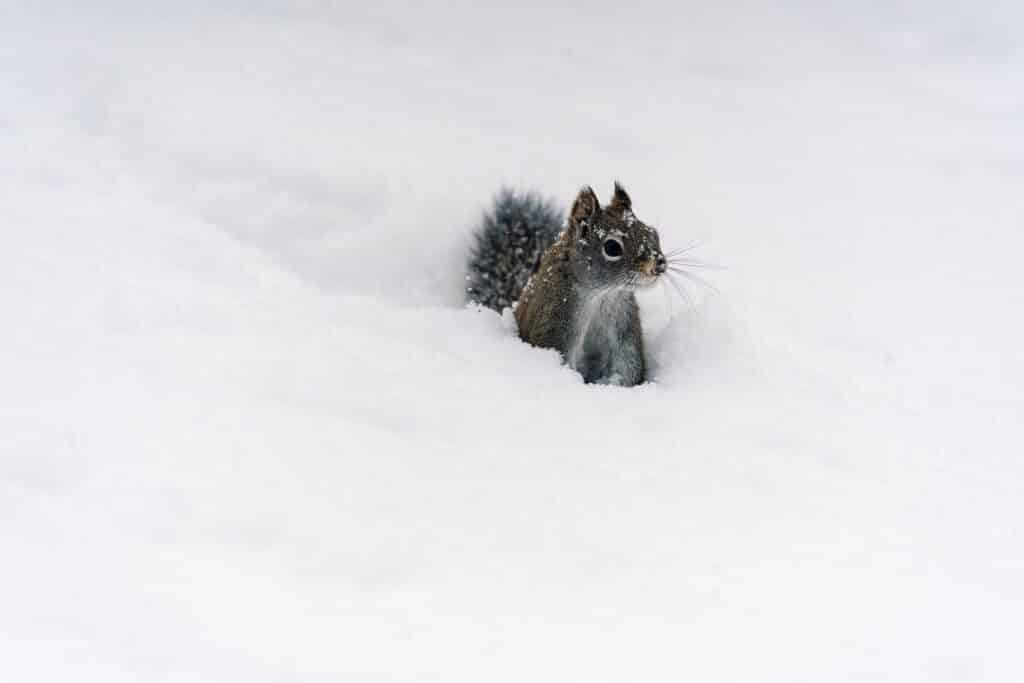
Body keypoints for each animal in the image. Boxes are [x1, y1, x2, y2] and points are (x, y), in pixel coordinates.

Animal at [467, 182, 667, 387]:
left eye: (653, 233)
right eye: (612, 247)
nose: (659, 264)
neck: (600, 296)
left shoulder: (625, 335)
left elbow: (628, 370)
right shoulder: (555, 326)